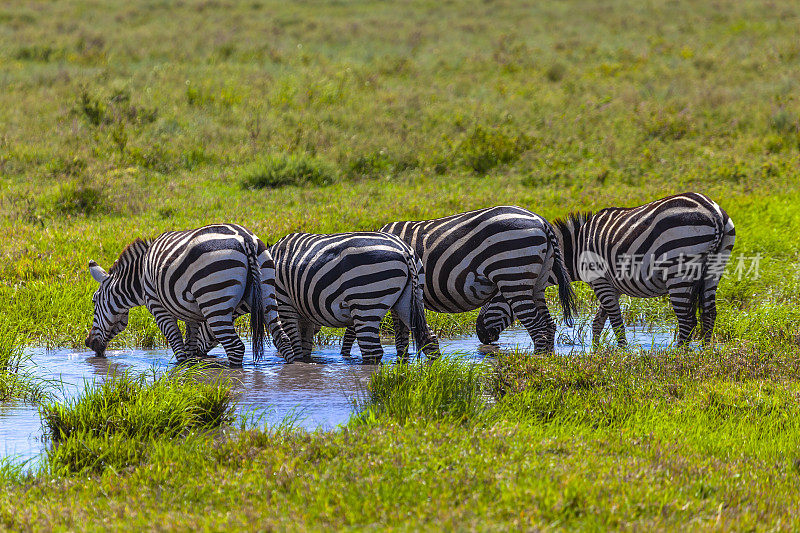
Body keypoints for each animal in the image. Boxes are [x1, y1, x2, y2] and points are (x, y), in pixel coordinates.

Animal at [85, 221, 296, 366]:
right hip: (267, 292)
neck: (139, 277)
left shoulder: (158, 307)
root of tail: (244, 239)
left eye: (94, 302)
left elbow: (178, 347)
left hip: (214, 299)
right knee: (283, 339)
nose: (88, 343)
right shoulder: (190, 313)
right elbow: (190, 346)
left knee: (235, 347)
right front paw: (192, 368)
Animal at [195, 231, 444, 364]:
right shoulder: (304, 312)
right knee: (429, 338)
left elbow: (296, 346)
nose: (196, 357)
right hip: (409, 299)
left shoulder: (285, 304)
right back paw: (433, 373)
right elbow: (305, 348)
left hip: (367, 301)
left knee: (372, 350)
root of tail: (404, 250)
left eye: (200, 323)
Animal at [338, 206, 576, 356]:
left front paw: (346, 358)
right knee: (549, 326)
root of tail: (541, 221)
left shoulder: (370, 291)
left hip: (512, 272)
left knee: (538, 328)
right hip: (537, 282)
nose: (481, 334)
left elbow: (354, 332)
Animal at [476, 193, 736, 348]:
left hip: (679, 270)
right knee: (709, 313)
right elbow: (598, 321)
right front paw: (596, 352)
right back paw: (704, 352)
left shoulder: (600, 280)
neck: (575, 249)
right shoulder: (611, 285)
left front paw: (621, 354)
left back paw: (678, 355)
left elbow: (615, 322)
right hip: (714, 268)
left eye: (495, 296)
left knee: (686, 320)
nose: (480, 334)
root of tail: (713, 211)